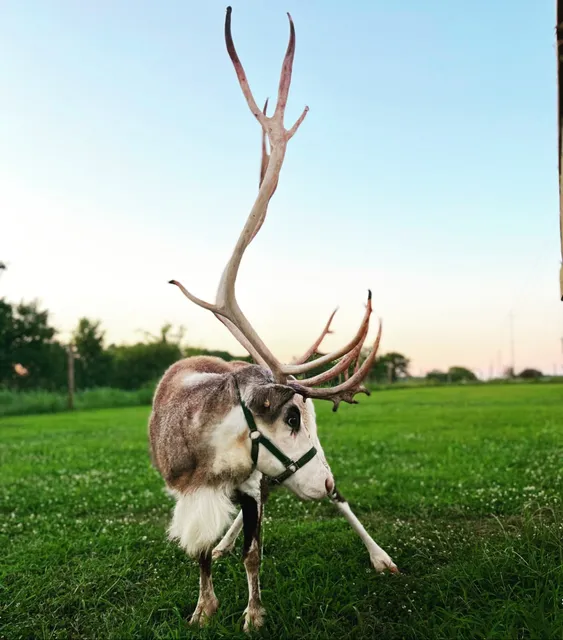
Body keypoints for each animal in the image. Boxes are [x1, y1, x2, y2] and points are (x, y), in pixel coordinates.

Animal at [148, 6, 398, 632]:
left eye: (306, 418)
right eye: (290, 417)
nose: (326, 476)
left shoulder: (254, 481)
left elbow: (255, 553)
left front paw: (254, 614)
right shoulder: (197, 488)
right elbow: (203, 550)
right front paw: (203, 606)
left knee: (333, 507)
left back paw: (380, 555)